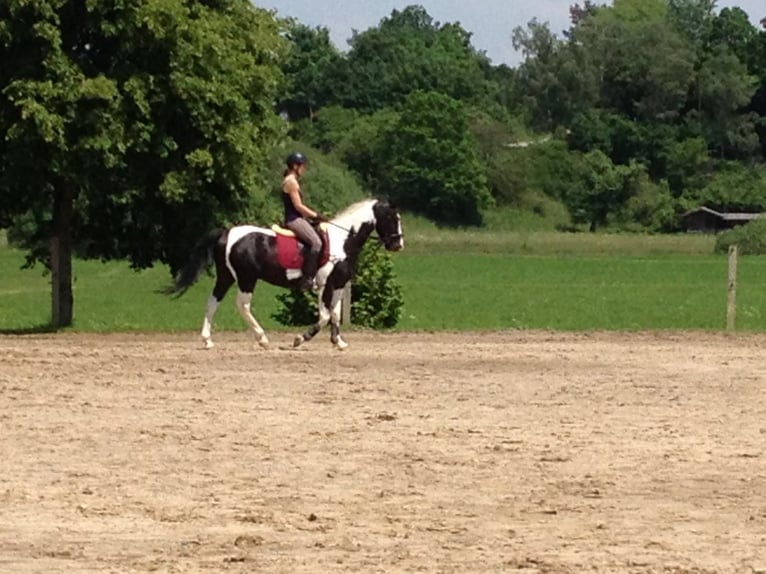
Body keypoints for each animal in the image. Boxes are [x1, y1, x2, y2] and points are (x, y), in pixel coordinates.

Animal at [165, 198, 404, 352]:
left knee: (213, 302)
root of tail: (227, 232)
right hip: (246, 278)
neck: (343, 240)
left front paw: (339, 342)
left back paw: (207, 340)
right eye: (392, 217)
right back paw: (262, 339)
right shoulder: (324, 286)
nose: (398, 245)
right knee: (242, 305)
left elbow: (335, 315)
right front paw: (300, 339)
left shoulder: (337, 285)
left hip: (226, 277)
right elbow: (325, 316)